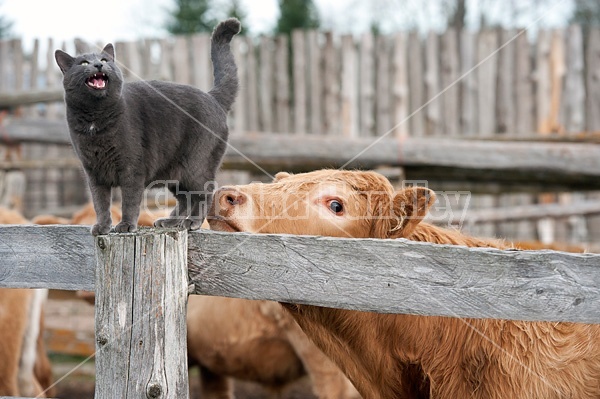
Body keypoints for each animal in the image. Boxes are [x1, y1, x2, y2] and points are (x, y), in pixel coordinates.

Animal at [55, 18, 240, 236]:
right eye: (84, 63)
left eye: (105, 60)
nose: (99, 64)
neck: (95, 117)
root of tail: (212, 97)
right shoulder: (93, 172)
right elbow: (100, 203)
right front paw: (102, 227)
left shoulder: (132, 168)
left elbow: (129, 200)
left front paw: (126, 226)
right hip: (175, 173)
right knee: (185, 198)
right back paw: (170, 222)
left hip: (196, 164)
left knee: (205, 192)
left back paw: (192, 222)